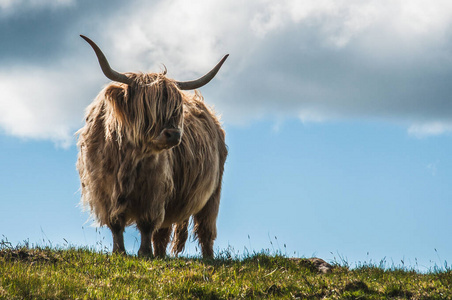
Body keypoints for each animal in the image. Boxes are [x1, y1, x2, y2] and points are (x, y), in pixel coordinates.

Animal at [76, 35, 230, 258]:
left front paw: (144, 253)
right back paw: (160, 254)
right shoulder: (103, 190)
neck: (128, 156)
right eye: (148, 106)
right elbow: (116, 223)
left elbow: (147, 224)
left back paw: (208, 257)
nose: (174, 134)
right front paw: (119, 251)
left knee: (205, 228)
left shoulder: (155, 189)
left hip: (213, 193)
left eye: (176, 109)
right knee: (163, 233)